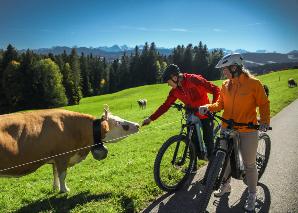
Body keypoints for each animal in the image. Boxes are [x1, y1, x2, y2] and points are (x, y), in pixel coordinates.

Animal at [0, 107, 140, 192]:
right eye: (121, 124)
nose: (138, 125)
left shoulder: (55, 158)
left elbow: (55, 173)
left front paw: (56, 188)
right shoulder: (62, 156)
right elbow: (62, 175)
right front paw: (64, 190)